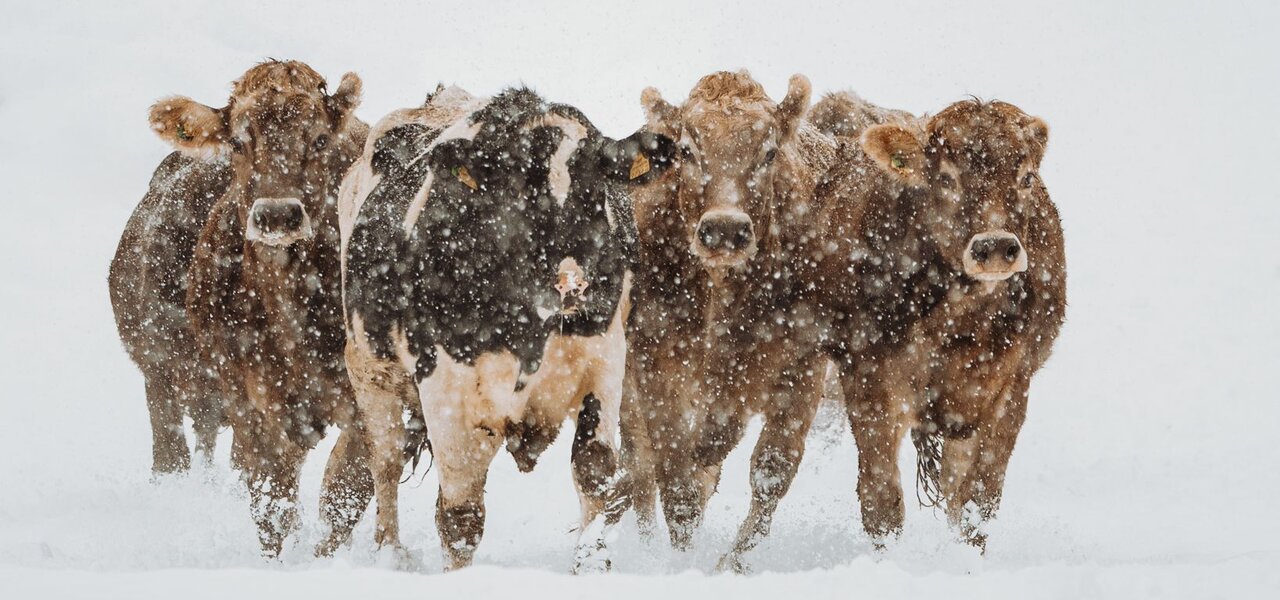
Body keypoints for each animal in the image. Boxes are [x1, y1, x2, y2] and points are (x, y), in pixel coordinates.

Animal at [149, 60, 373, 557]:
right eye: (237, 141)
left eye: (320, 140)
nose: (276, 215)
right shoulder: (250, 406)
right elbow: (272, 503)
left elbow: (344, 495)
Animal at [340, 85, 680, 570]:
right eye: (518, 190)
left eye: (597, 189)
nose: (573, 282)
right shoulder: (445, 391)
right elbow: (460, 515)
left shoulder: (604, 363)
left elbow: (595, 472)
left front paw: (591, 564)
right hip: (369, 370)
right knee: (384, 461)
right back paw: (391, 552)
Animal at [619, 71, 839, 570]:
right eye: (686, 150)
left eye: (769, 152)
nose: (724, 229)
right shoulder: (652, 363)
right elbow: (675, 478)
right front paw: (681, 561)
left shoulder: (803, 367)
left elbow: (771, 471)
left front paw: (730, 565)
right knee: (640, 467)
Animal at [808, 95, 1070, 550]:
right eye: (945, 179)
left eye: (1027, 177)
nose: (994, 246)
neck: (960, 327)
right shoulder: (869, 381)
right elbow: (881, 500)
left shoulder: (1011, 390)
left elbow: (978, 500)